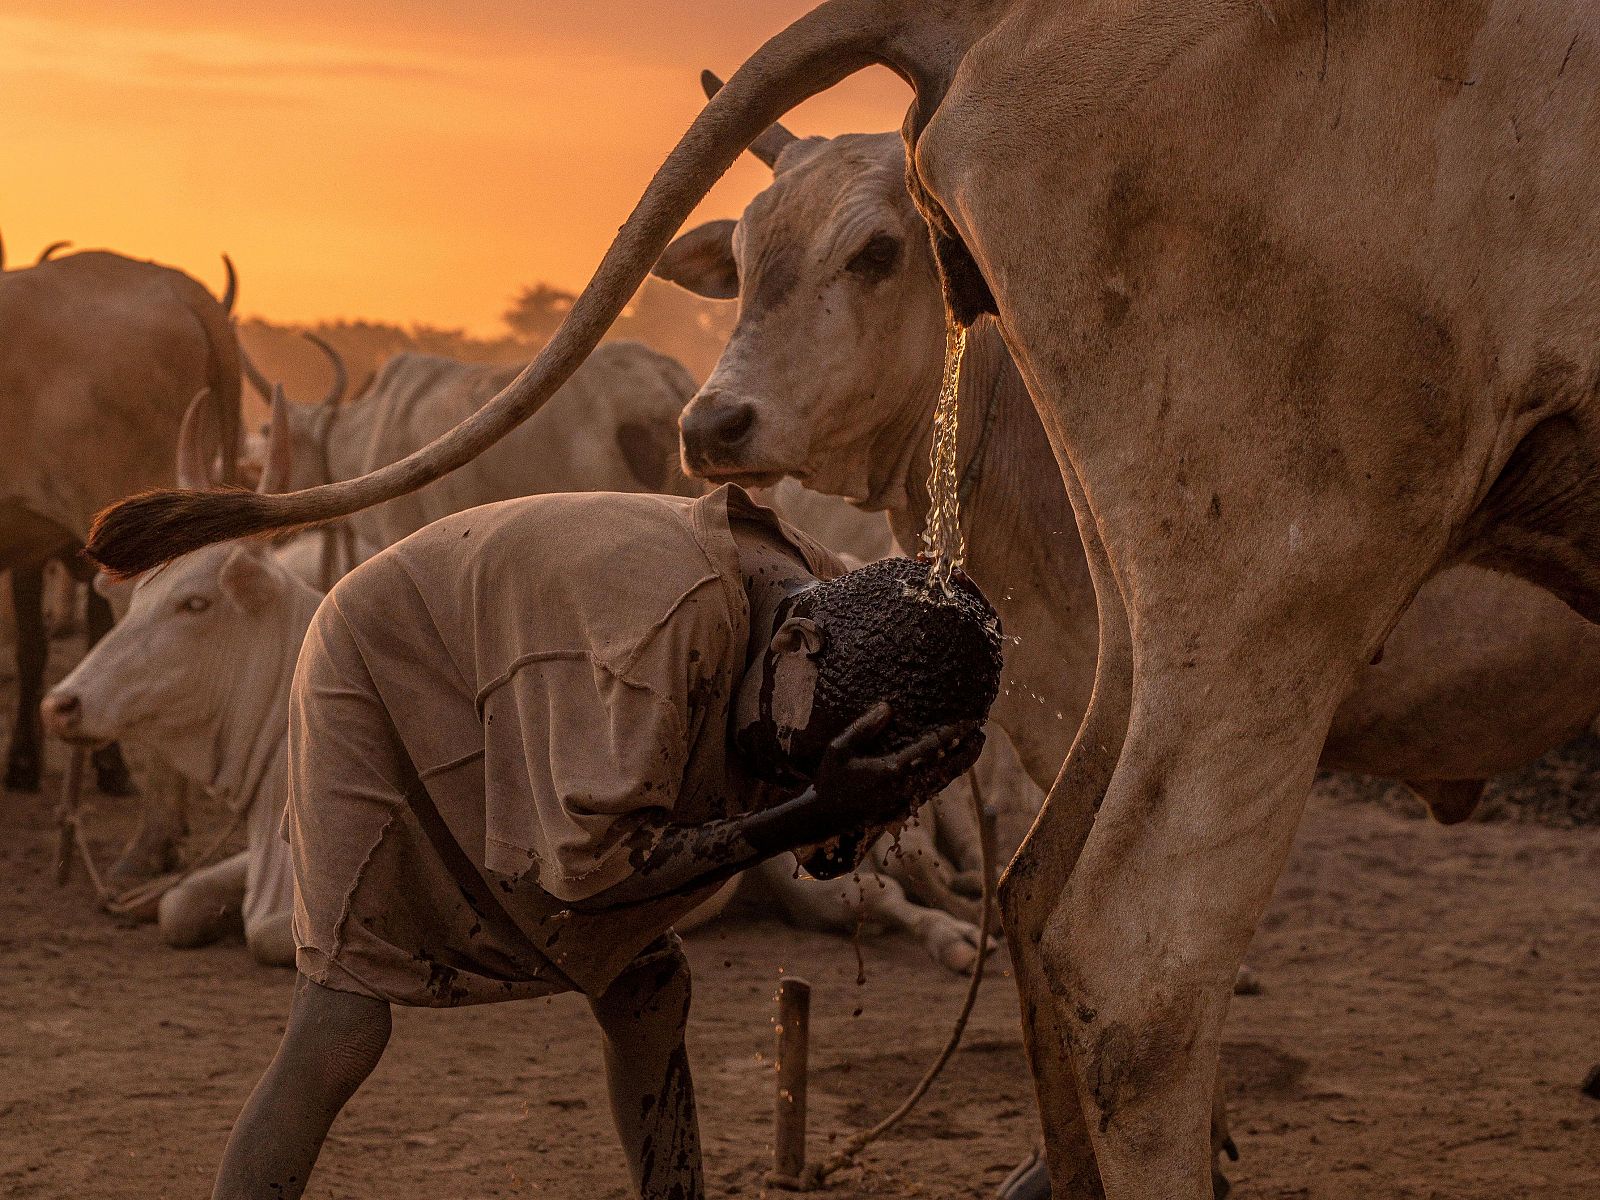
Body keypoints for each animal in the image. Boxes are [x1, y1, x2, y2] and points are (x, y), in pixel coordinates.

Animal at [88, 5, 1600, 1195]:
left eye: (877, 252)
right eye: (748, 258)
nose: (715, 424)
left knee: (1046, 907)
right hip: (1275, 571)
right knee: (1125, 945)